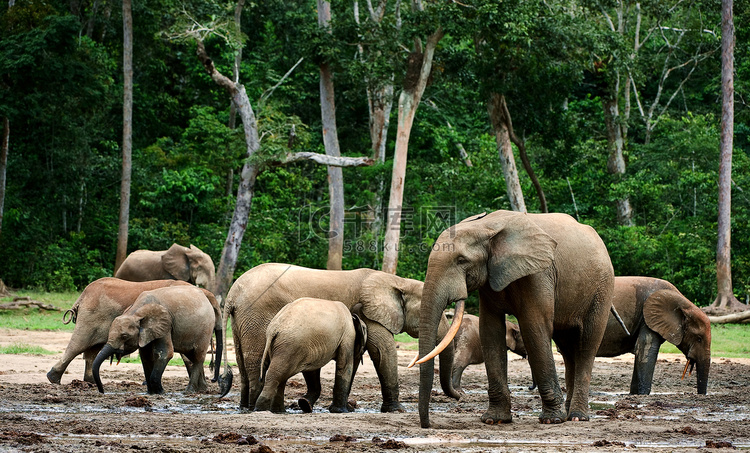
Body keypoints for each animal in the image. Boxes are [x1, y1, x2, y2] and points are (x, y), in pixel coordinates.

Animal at [46, 278, 194, 384]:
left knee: (92, 349)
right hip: (91, 317)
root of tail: (82, 297)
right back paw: (53, 379)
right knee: (78, 345)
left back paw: (91, 381)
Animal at [90, 284, 222, 394]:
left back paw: (189, 391)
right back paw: (202, 389)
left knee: (198, 356)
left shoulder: (165, 324)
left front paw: (160, 392)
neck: (136, 312)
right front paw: (151, 393)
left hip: (205, 328)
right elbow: (145, 356)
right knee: (191, 356)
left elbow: (165, 353)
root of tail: (206, 294)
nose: (102, 391)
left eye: (124, 336)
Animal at [418, 210, 616, 426]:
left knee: (586, 345)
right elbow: (490, 330)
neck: (485, 225)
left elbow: (534, 327)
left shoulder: (539, 273)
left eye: (461, 260)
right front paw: (494, 420)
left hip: (602, 288)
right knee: (567, 348)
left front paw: (552, 420)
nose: (428, 425)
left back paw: (577, 417)